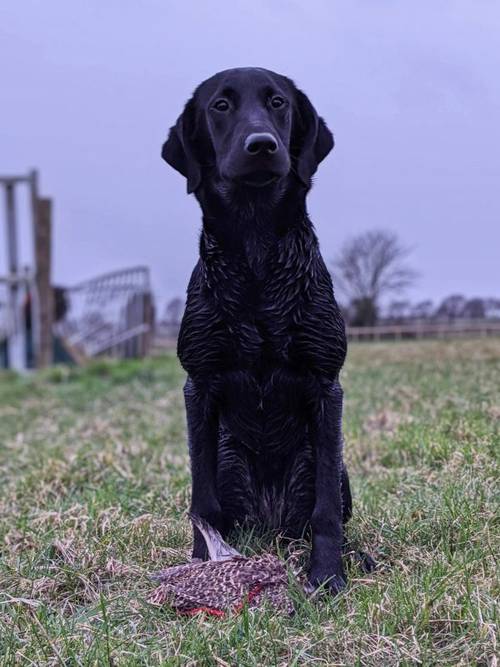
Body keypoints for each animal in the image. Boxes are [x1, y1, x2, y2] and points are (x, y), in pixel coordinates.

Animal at [164, 66, 360, 588]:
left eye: (278, 103)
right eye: (220, 105)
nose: (261, 145)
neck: (255, 250)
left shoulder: (326, 384)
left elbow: (325, 511)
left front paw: (327, 576)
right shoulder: (199, 385)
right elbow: (203, 503)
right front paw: (203, 567)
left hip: (329, 465)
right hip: (227, 455)